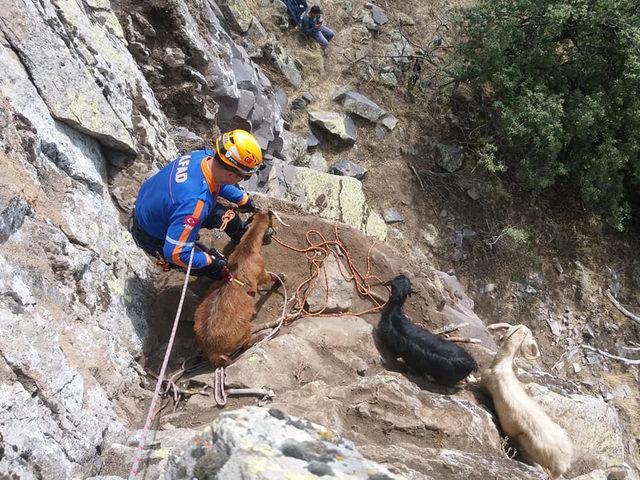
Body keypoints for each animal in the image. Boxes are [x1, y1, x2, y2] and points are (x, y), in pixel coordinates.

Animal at [192, 211, 278, 368]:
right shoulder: (262, 273)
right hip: (244, 330)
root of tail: (213, 352)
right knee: (246, 344)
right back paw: (260, 337)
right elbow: (270, 276)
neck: (247, 248)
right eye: (272, 219)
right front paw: (281, 278)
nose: (273, 233)